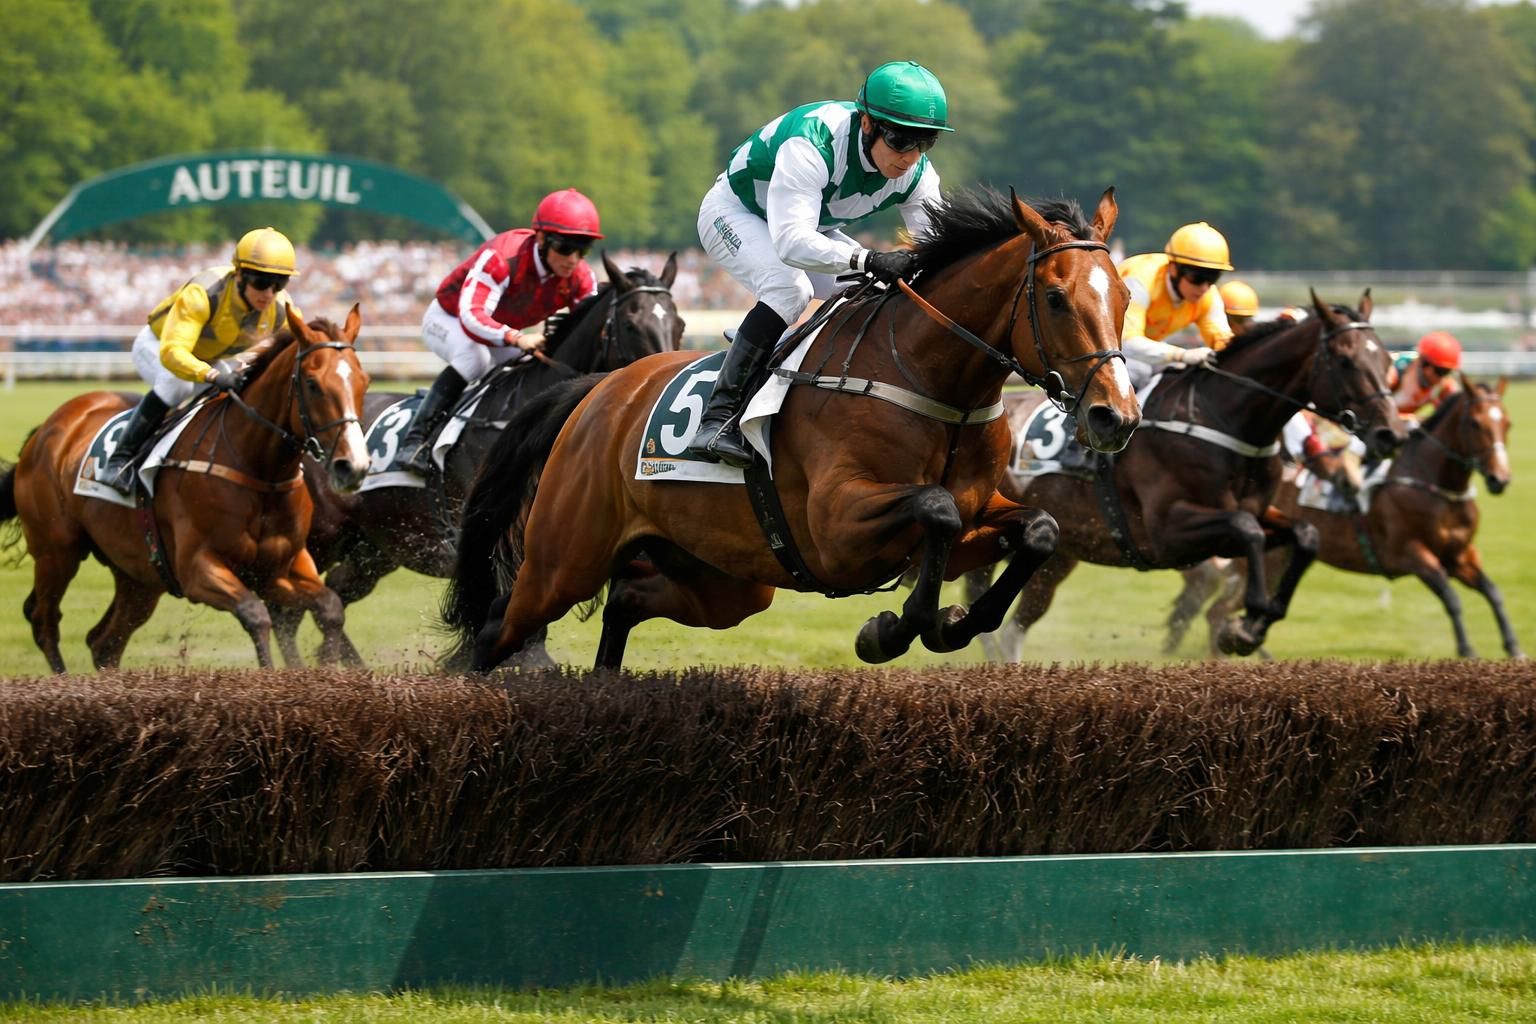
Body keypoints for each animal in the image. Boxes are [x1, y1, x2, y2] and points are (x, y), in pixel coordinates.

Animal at [0, 307, 370, 672]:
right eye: (313, 384)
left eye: (363, 382)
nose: (353, 465)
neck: (258, 470)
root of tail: (46, 430)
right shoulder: (196, 569)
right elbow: (255, 615)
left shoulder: (278, 569)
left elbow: (330, 609)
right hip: (57, 551)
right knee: (44, 620)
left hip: (139, 575)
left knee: (104, 642)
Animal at [269, 254, 683, 665]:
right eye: (630, 322)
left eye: (678, 324)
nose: (658, 383)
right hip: (322, 537)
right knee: (288, 603)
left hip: (375, 546)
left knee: (333, 594)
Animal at [442, 186, 1143, 672]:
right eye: (1055, 298)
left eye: (1126, 297)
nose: (1116, 416)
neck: (931, 381)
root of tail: (598, 390)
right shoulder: (838, 529)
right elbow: (936, 510)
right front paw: (892, 629)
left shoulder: (977, 515)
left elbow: (1038, 531)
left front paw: (954, 624)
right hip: (564, 559)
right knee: (498, 627)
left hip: (726, 581)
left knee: (626, 603)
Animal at [966, 292, 1408, 661]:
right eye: (1347, 361)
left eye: (1388, 362)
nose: (1391, 435)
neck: (1224, 421)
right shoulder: (1166, 531)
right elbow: (1247, 530)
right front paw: (1245, 625)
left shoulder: (1252, 512)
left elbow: (1304, 534)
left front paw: (1258, 620)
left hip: (1063, 551)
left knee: (1018, 621)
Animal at [1183, 377, 1521, 659]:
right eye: (1475, 424)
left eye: (1507, 423)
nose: (1500, 479)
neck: (1435, 486)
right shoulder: (1410, 554)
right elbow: (1451, 597)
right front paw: (1467, 650)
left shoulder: (1459, 556)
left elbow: (1493, 592)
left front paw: (1514, 648)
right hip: (1265, 563)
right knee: (1219, 611)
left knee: (1223, 611)